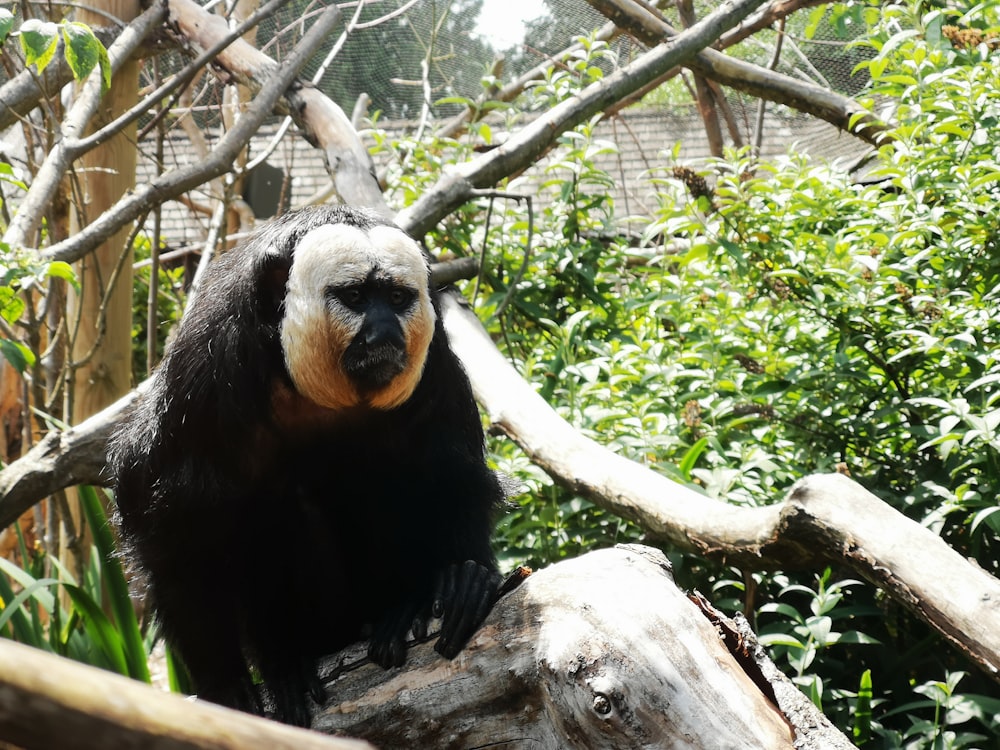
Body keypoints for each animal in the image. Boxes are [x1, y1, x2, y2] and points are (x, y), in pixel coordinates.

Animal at [110, 206, 508, 728]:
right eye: (355, 297)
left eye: (397, 299)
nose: (386, 332)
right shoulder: (206, 369)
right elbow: (170, 524)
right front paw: (224, 680)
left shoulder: (433, 361)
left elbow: (451, 475)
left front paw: (465, 578)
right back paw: (288, 657)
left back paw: (402, 609)